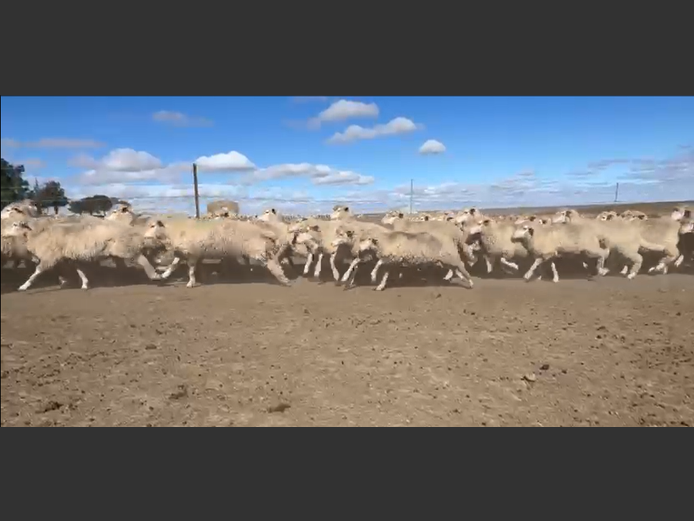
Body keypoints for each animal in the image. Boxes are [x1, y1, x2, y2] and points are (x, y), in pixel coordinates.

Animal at [3, 219, 165, 291]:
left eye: (15, 224)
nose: (3, 234)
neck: (37, 236)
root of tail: (131, 229)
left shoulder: (50, 256)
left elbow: (36, 272)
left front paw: (24, 286)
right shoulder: (71, 257)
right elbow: (80, 271)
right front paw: (84, 284)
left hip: (125, 248)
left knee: (142, 260)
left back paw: (155, 275)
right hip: (122, 250)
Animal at [333, 228, 474, 291]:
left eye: (364, 239)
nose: (355, 250)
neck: (383, 241)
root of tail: (452, 238)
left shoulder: (392, 257)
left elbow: (378, 263)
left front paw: (373, 275)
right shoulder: (389, 261)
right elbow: (384, 273)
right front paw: (380, 286)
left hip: (452, 257)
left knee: (461, 266)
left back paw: (470, 282)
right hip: (444, 260)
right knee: (455, 268)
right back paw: (459, 278)